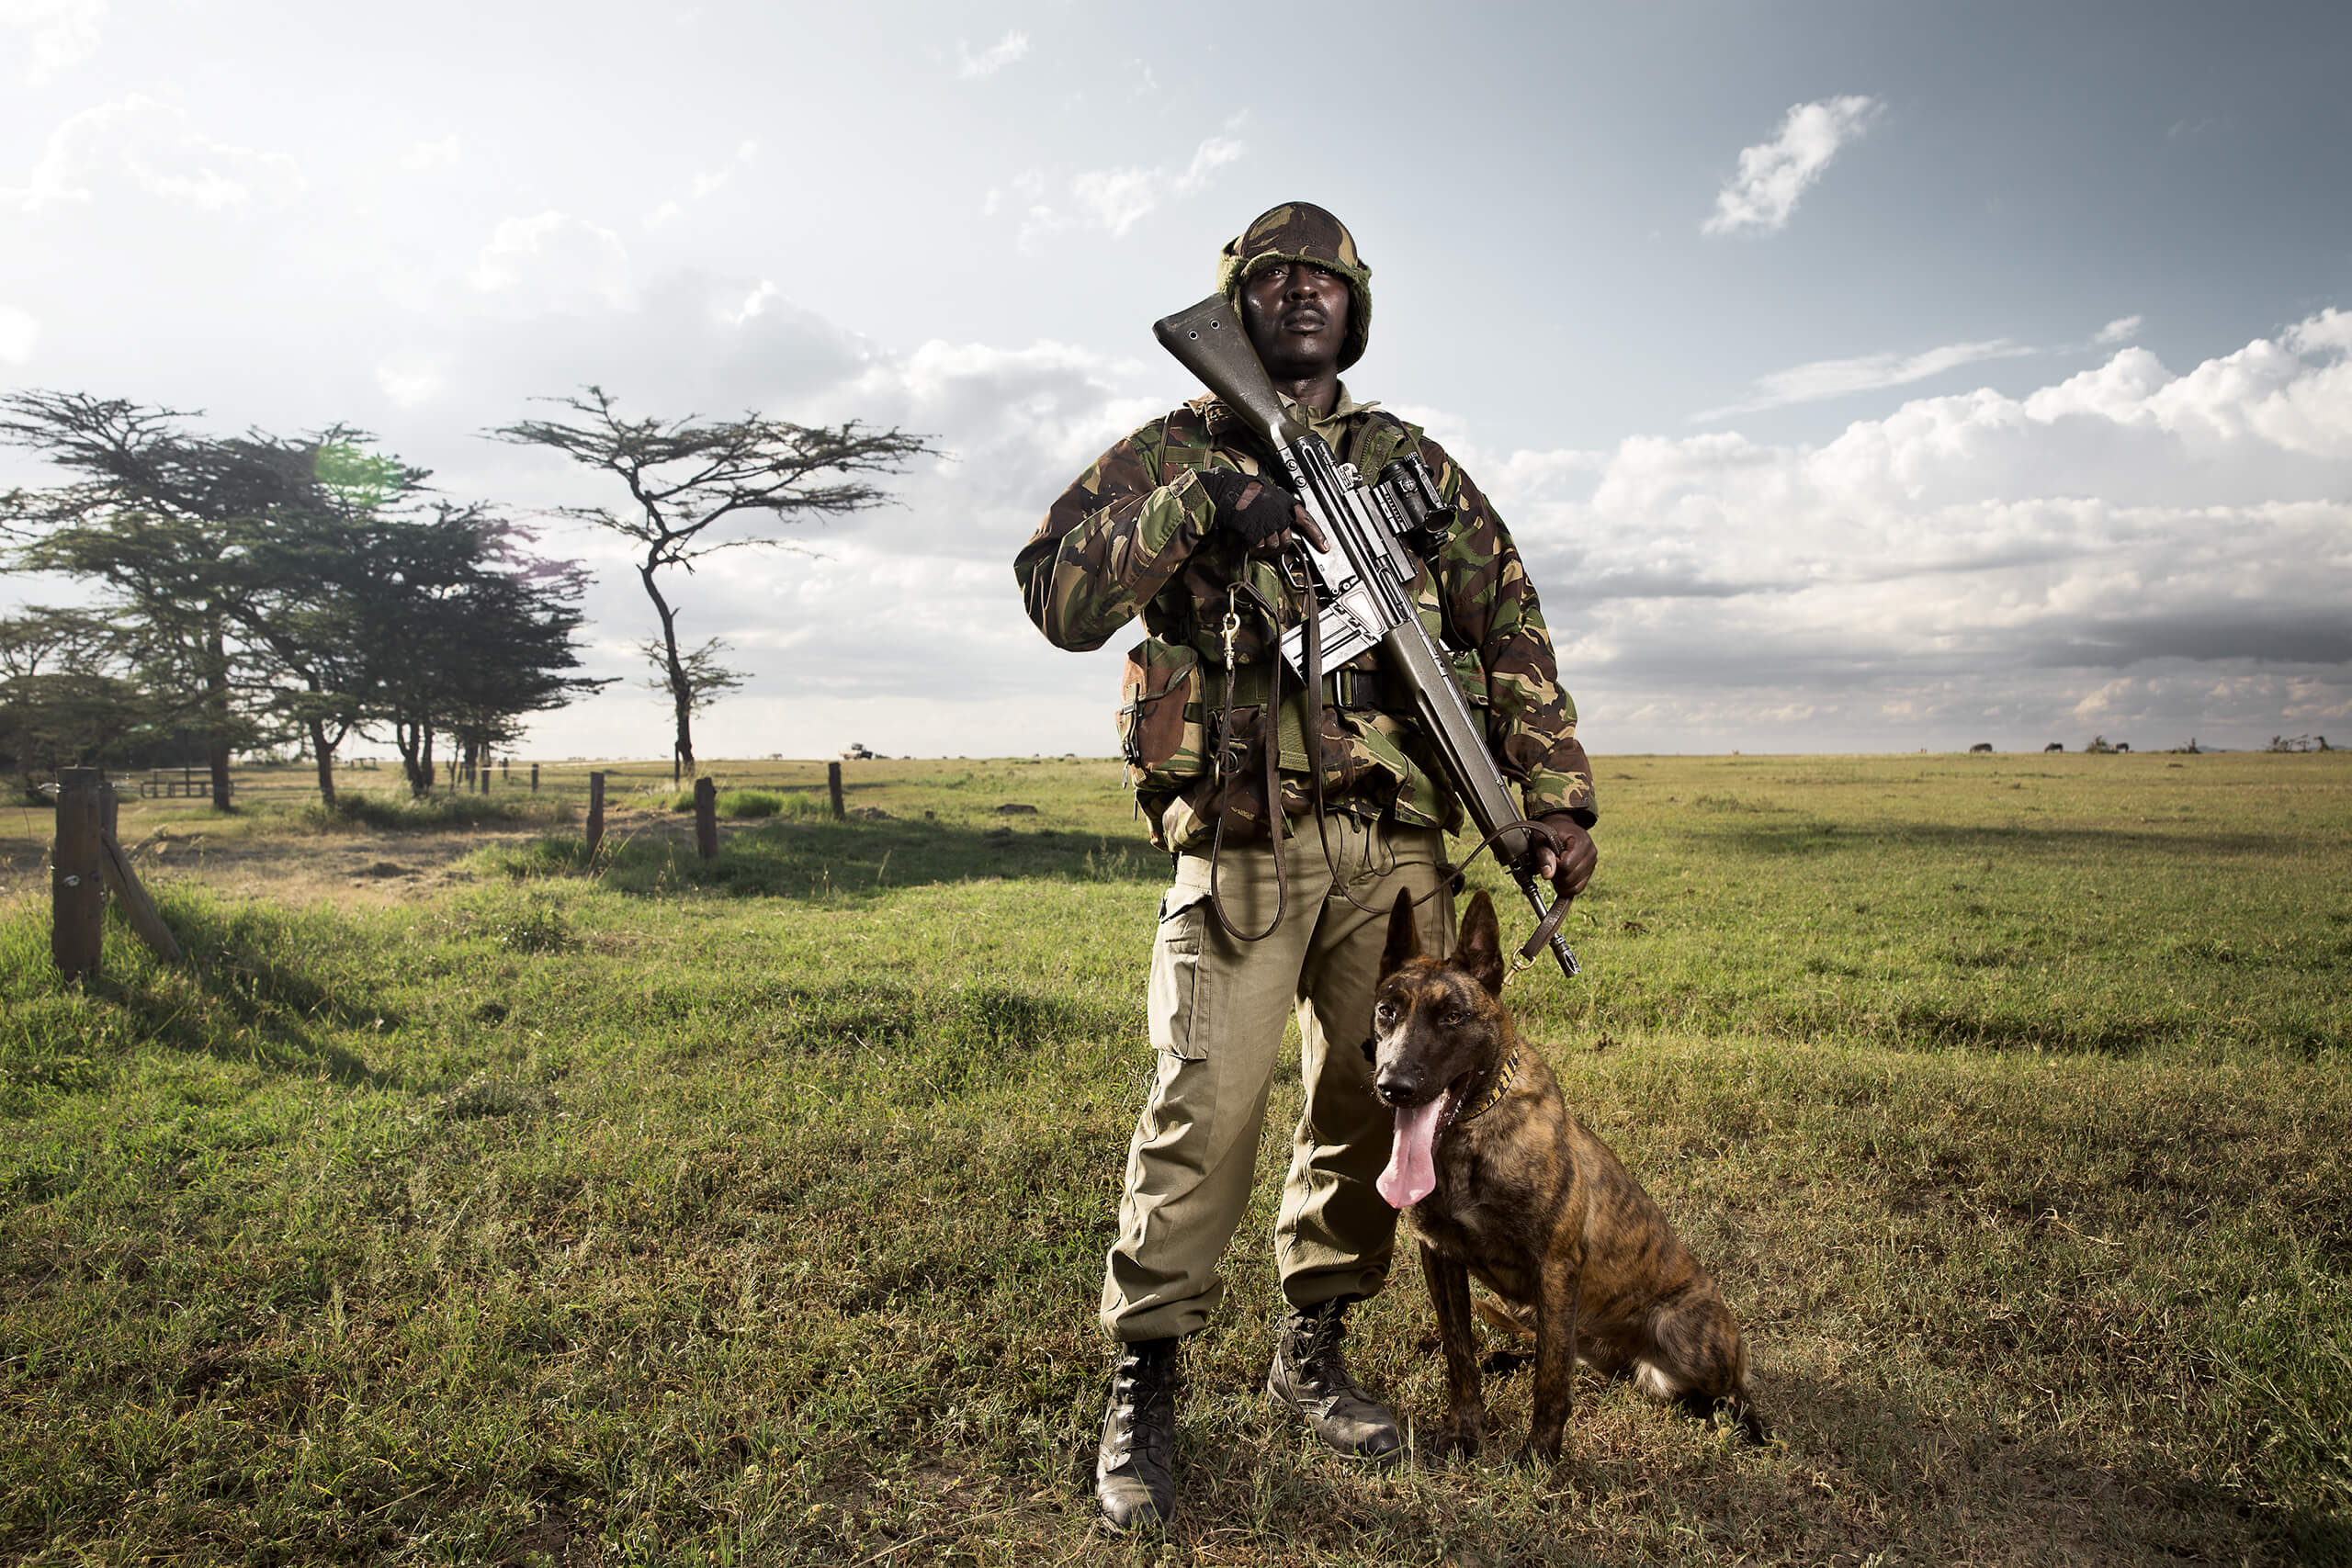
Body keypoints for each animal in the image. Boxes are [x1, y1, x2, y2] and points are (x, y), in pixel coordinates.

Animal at [1363, 888, 1769, 1466]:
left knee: (1730, 1386)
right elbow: (1460, 1354)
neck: (1469, 1137)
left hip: (1683, 1331)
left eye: (1453, 1016)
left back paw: (1744, 1420)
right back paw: (1506, 1360)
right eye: (1387, 1011)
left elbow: (1551, 1377)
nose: (1393, 1085)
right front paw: (1466, 1429)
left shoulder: (1555, 1267)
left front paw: (1540, 1455)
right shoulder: (1440, 1258)